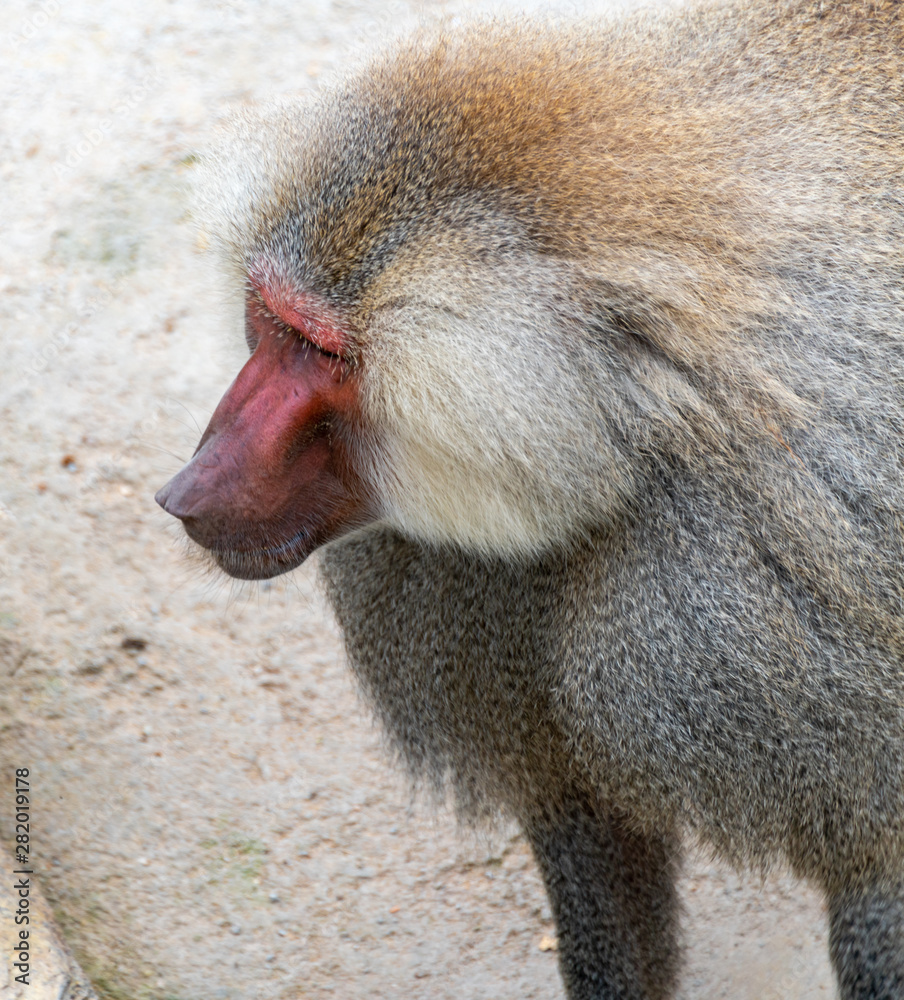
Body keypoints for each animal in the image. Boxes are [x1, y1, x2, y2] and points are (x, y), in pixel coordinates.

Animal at [155, 0, 904, 996]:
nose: (183, 494)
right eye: (269, 320)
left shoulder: (764, 612)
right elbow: (583, 817)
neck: (629, 441)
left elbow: (877, 875)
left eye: (321, 352)